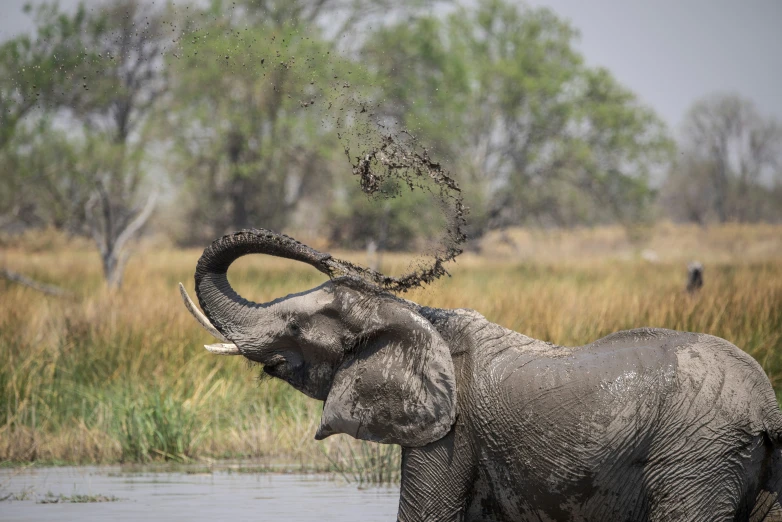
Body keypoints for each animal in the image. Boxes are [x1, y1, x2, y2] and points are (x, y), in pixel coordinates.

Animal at [179, 229, 782, 520]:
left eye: (297, 325)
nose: (337, 260)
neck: (419, 315)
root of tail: (768, 410)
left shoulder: (450, 434)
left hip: (696, 457)